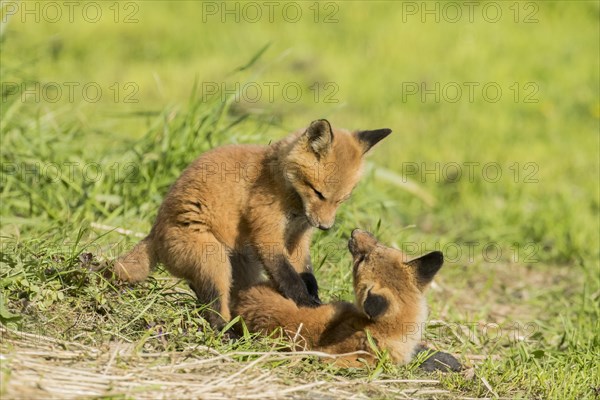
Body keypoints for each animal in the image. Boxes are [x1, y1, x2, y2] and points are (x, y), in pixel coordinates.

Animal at [115, 119, 392, 332]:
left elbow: (306, 273)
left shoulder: (299, 238)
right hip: (213, 259)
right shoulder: (266, 232)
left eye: (342, 199)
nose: (325, 227)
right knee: (213, 303)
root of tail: (154, 232)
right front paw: (307, 304)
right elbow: (289, 277)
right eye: (318, 193)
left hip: (244, 267)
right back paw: (225, 331)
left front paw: (314, 296)